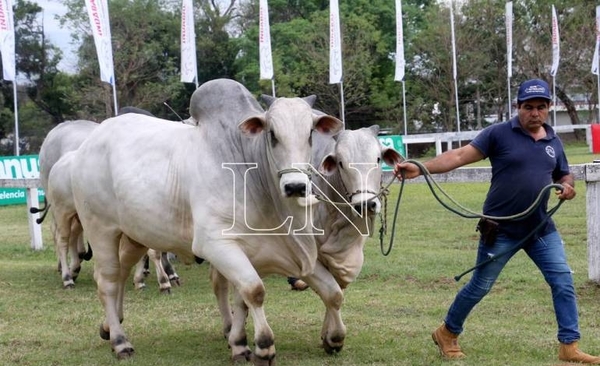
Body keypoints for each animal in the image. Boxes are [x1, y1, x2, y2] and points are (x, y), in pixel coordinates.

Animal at [69, 78, 342, 364]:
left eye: (310, 134)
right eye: (272, 134)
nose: (295, 186)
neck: (247, 169)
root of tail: (88, 143)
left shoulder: (261, 251)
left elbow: (331, 292)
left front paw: (332, 338)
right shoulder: (215, 244)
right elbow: (254, 291)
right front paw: (263, 346)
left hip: (135, 236)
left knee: (121, 272)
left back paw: (108, 327)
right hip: (100, 229)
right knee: (108, 280)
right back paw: (120, 341)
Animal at [211, 123, 404, 354]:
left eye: (378, 159)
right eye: (341, 163)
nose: (365, 204)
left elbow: (335, 292)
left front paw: (327, 336)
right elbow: (331, 292)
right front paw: (335, 337)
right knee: (221, 284)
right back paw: (229, 327)